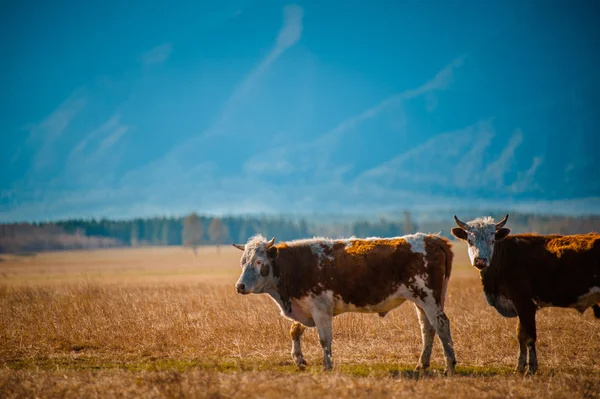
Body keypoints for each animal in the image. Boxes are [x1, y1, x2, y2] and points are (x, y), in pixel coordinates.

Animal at [232, 231, 458, 376]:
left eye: (259, 262)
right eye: (243, 262)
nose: (240, 286)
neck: (295, 266)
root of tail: (432, 238)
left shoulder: (320, 309)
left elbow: (324, 339)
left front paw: (327, 365)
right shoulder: (304, 307)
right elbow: (295, 331)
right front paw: (299, 360)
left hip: (429, 298)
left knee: (441, 325)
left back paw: (450, 365)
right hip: (421, 301)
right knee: (427, 328)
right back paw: (422, 364)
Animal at [450, 216, 600, 376]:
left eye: (492, 240)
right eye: (470, 241)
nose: (480, 261)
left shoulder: (525, 303)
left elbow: (529, 336)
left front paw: (531, 367)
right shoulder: (518, 306)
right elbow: (520, 334)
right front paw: (520, 366)